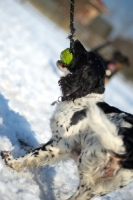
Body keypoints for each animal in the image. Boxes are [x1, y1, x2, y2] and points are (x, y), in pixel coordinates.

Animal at [1, 39, 133, 199]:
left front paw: (12, 161)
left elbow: (34, 154)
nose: (75, 41)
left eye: (86, 56)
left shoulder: (62, 143)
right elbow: (36, 149)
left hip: (88, 156)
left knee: (84, 189)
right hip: (112, 181)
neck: (83, 97)